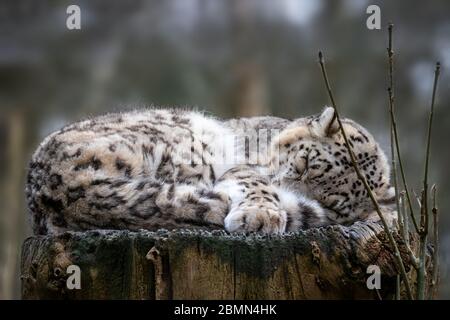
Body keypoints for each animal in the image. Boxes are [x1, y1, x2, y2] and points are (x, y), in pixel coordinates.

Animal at [26, 107, 396, 235]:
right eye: (303, 164)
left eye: (331, 205)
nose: (284, 188)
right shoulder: (244, 166)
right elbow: (255, 182)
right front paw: (261, 217)